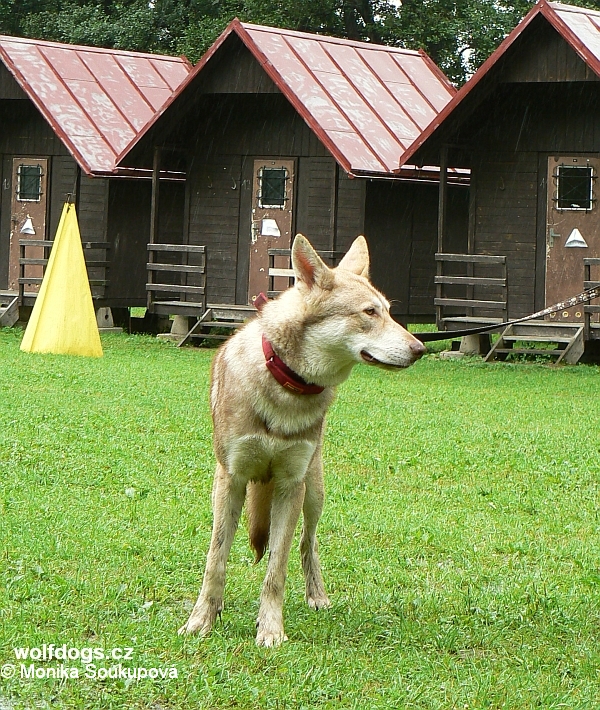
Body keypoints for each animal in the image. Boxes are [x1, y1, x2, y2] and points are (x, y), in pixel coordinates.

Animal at [179, 236, 426, 648]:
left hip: (313, 493)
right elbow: (216, 561)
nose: (421, 348)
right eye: (370, 312)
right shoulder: (229, 480)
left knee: (306, 544)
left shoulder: (290, 484)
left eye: (391, 313)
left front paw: (270, 630)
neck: (287, 386)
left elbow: (276, 569)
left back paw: (318, 597)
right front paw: (201, 621)